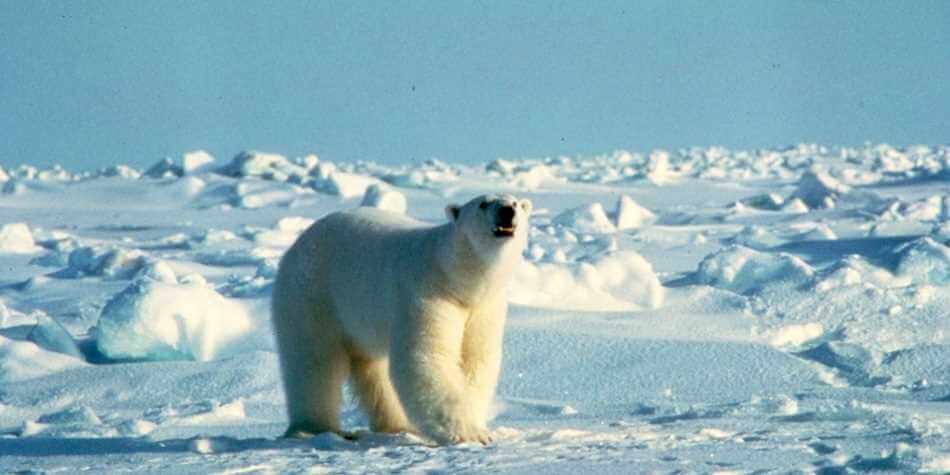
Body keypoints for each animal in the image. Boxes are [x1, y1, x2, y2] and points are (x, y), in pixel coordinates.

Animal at [272, 193, 532, 446]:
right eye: (483, 204)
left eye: (516, 202)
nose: (507, 211)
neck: (455, 277)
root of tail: (297, 244)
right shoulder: (426, 293)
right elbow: (427, 356)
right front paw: (470, 434)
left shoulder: (483, 307)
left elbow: (476, 359)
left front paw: (476, 423)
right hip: (312, 294)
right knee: (313, 360)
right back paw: (313, 428)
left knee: (374, 369)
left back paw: (398, 425)